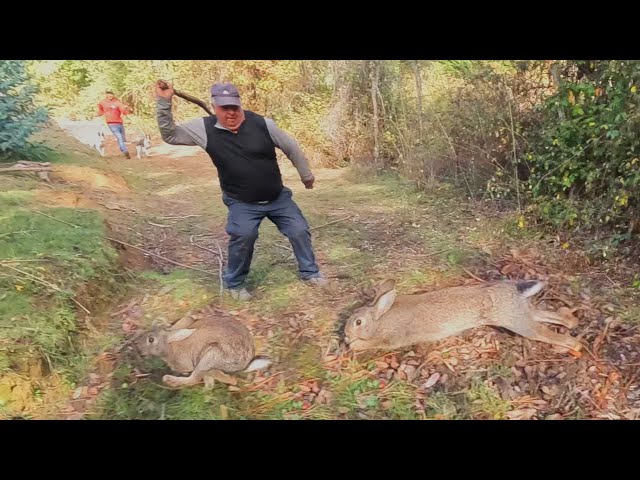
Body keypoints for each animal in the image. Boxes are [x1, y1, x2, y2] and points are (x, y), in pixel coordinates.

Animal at [136, 315, 271, 389]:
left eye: (151, 339)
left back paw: (169, 380)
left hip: (210, 356)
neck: (170, 346)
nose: (139, 350)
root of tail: (245, 364)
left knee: (196, 379)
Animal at [343, 279, 582, 353]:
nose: (344, 335)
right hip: (520, 313)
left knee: (548, 334)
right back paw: (571, 321)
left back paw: (574, 346)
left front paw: (354, 344)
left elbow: (373, 344)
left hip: (517, 322)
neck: (381, 318)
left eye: (358, 322)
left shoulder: (393, 338)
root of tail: (514, 290)